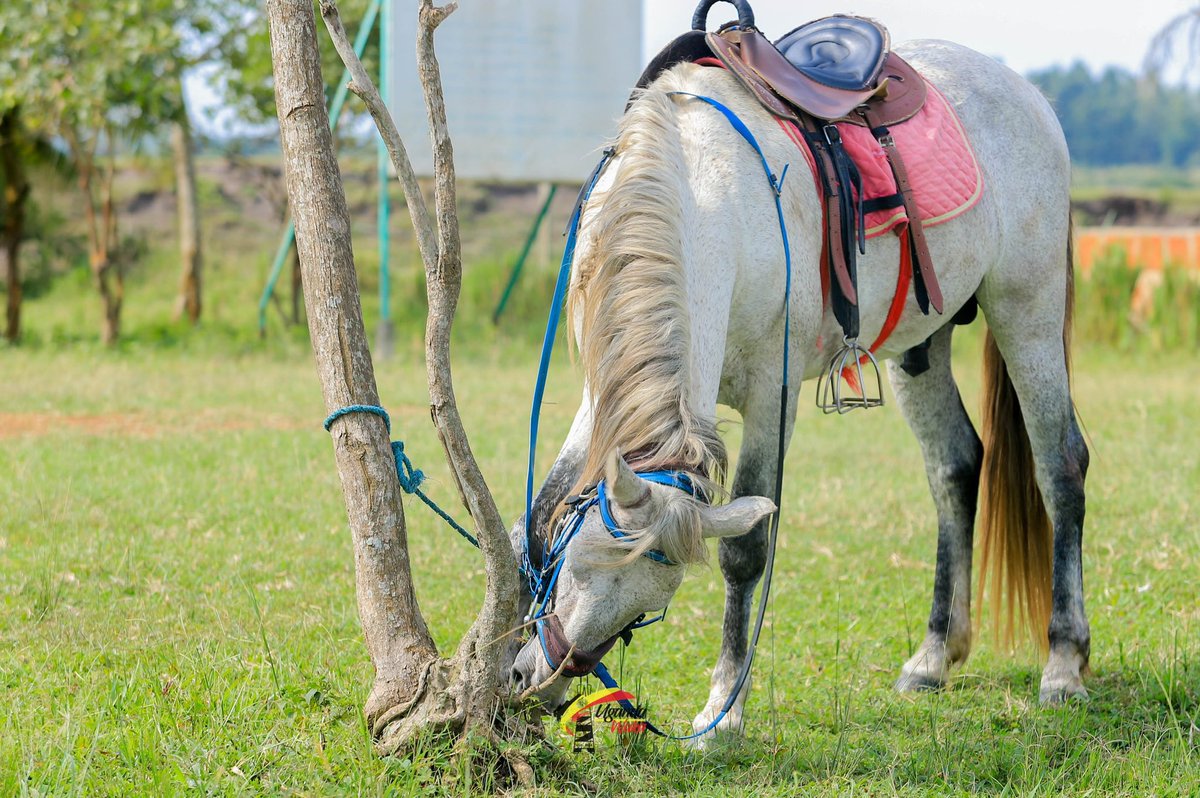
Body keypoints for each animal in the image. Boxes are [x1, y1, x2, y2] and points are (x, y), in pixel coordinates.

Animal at [507, 35, 1089, 743]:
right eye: (578, 564)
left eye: (645, 609)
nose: (539, 682)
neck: (701, 187)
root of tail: (1028, 92)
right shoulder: (600, 399)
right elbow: (537, 515)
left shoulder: (771, 396)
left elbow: (745, 552)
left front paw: (723, 711)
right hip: (924, 344)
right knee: (954, 467)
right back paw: (932, 656)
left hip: (1027, 307)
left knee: (1060, 466)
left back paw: (1063, 664)